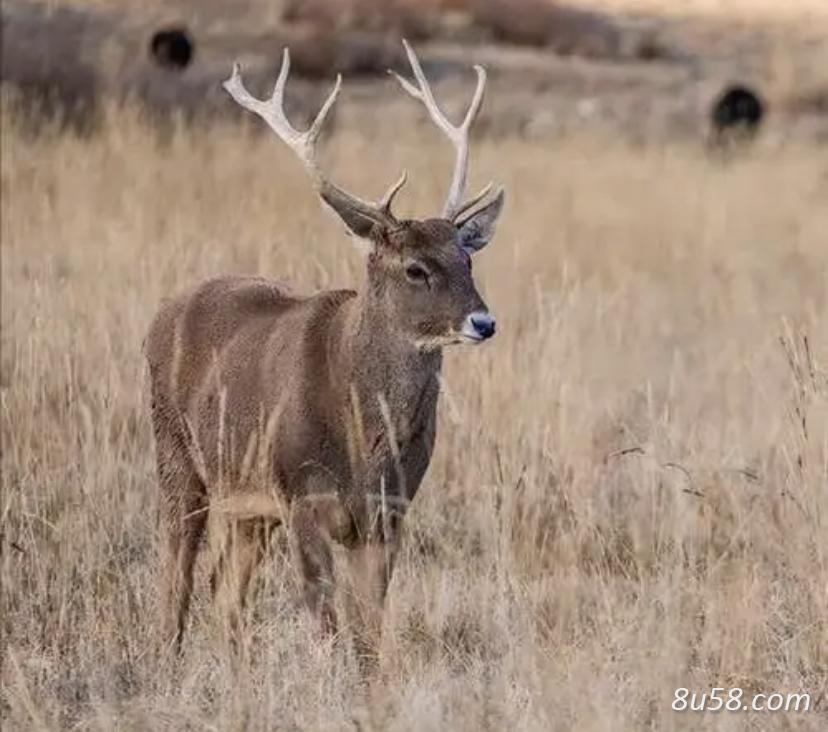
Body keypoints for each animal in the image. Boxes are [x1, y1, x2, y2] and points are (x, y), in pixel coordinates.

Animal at [145, 40, 505, 656]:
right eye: (415, 268)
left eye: (467, 258)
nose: (484, 321)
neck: (364, 437)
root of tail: (161, 313)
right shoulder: (303, 497)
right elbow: (327, 625)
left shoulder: (390, 511)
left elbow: (369, 632)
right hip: (176, 452)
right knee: (179, 573)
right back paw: (166, 656)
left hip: (248, 504)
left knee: (227, 593)